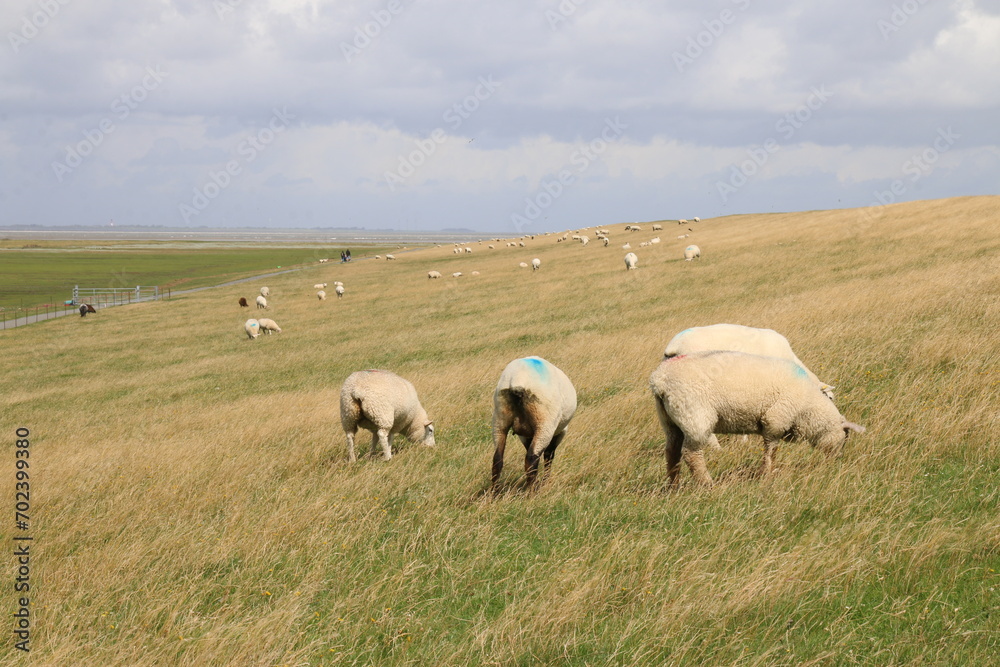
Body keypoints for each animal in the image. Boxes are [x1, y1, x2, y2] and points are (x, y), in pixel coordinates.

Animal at [492, 354, 580, 490]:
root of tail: (518, 380)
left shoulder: (524, 435)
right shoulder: (560, 432)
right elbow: (549, 455)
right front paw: (545, 481)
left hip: (500, 420)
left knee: (497, 458)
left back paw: (494, 493)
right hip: (544, 424)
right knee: (531, 458)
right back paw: (532, 491)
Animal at [644, 352, 864, 488]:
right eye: (845, 436)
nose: (836, 461)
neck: (808, 408)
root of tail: (659, 379)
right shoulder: (776, 419)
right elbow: (771, 450)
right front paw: (766, 474)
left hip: (670, 421)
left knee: (671, 452)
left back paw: (674, 486)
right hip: (695, 417)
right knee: (692, 455)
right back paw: (707, 485)